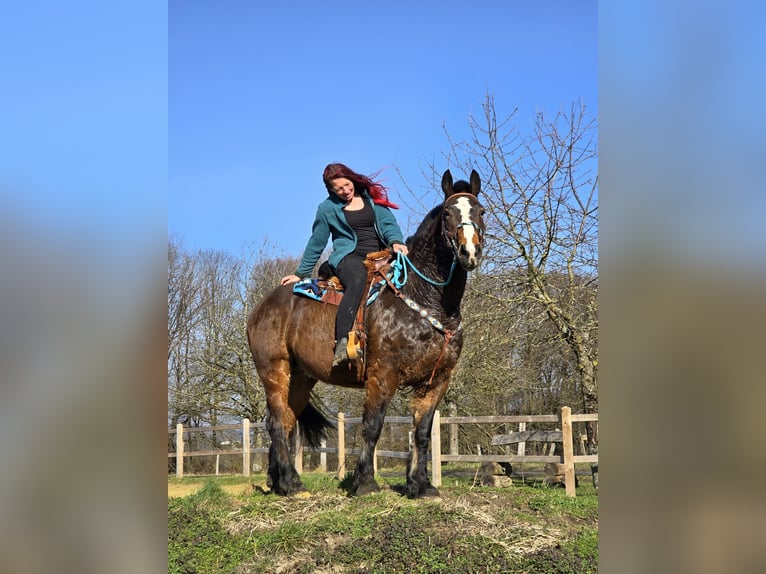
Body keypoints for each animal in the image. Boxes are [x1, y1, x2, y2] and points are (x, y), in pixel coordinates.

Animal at [246, 169, 485, 498]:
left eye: (481, 211)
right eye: (448, 213)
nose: (469, 252)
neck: (424, 298)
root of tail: (262, 307)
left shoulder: (436, 380)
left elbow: (422, 433)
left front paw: (420, 485)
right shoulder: (383, 374)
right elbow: (372, 426)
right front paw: (365, 482)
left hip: (300, 378)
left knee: (285, 420)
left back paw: (282, 482)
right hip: (274, 371)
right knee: (278, 424)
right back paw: (291, 485)